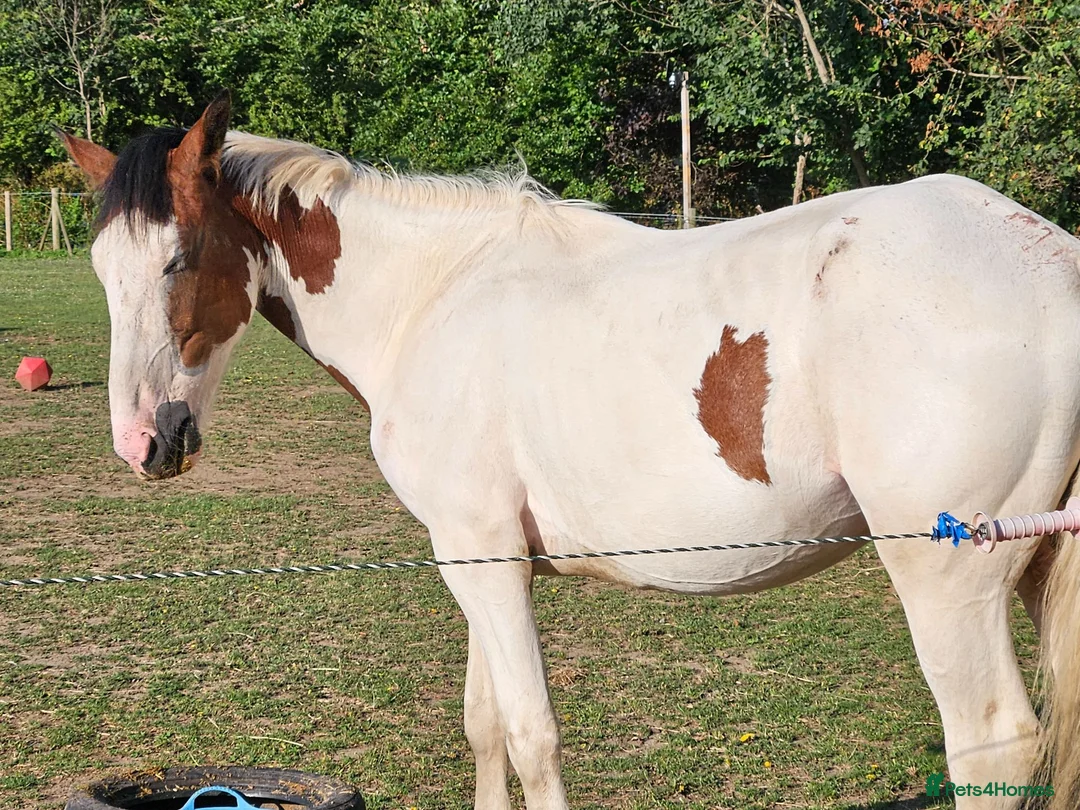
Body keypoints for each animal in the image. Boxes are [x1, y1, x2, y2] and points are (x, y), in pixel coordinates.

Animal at [59, 92, 1080, 809]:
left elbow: (531, 736)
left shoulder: (484, 557)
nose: (145, 442)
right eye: (103, 270)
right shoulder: (475, 560)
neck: (432, 297)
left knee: (992, 742)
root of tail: (1051, 262)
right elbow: (485, 729)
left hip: (948, 582)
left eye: (180, 258)